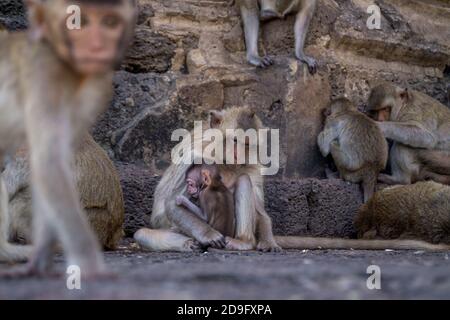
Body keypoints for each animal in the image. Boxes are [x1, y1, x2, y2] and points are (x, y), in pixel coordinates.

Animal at [134, 107, 282, 252]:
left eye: (247, 144)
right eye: (235, 140)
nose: (238, 155)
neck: (223, 160)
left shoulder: (252, 166)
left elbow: (260, 212)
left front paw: (268, 242)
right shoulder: (195, 154)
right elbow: (172, 203)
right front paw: (209, 235)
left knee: (244, 180)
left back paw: (244, 242)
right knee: (141, 234)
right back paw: (189, 244)